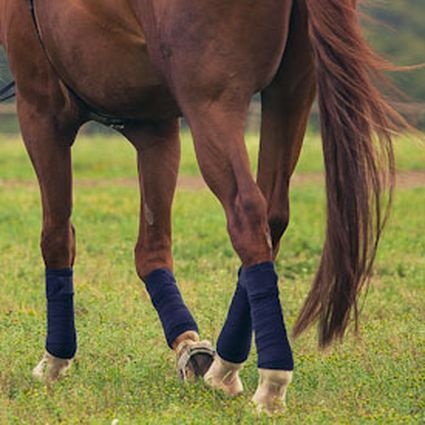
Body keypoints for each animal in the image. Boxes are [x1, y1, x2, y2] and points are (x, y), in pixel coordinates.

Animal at [0, 0, 404, 414]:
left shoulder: (41, 111)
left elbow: (57, 238)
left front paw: (55, 359)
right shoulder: (154, 127)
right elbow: (152, 251)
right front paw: (188, 346)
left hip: (213, 103)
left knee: (246, 212)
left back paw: (271, 380)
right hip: (290, 92)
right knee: (273, 215)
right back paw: (225, 366)